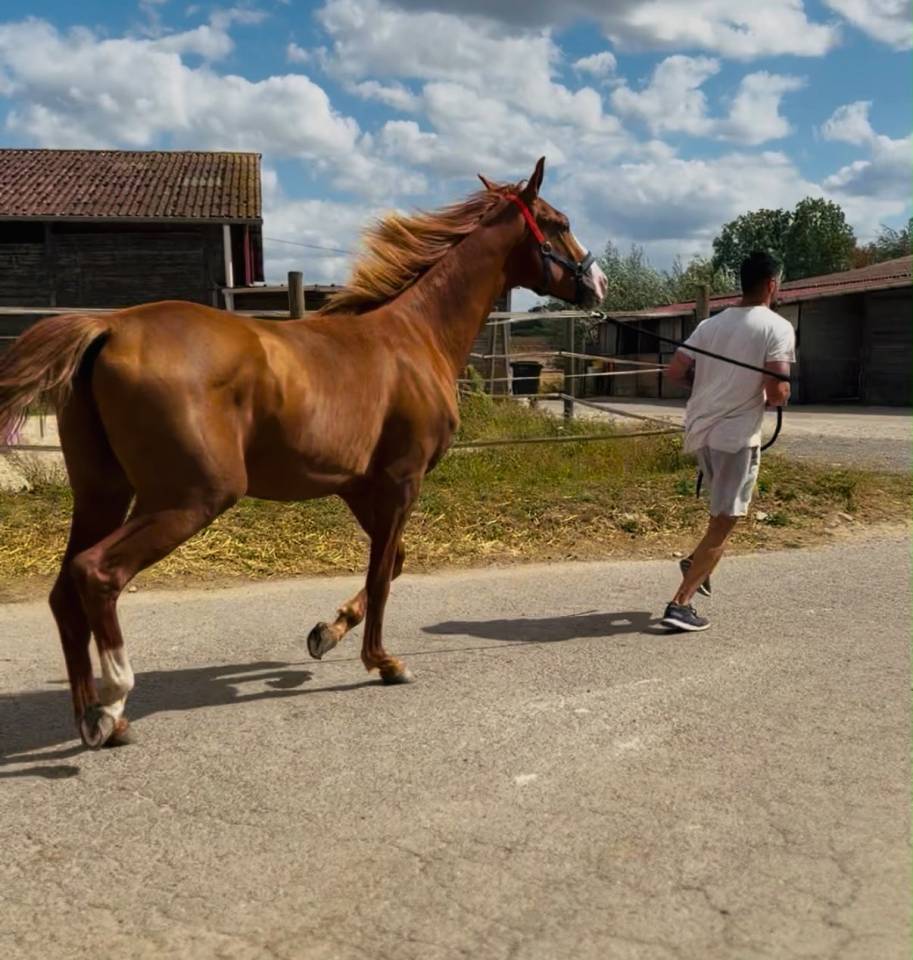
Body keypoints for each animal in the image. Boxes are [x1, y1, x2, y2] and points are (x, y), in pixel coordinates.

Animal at [0, 157, 607, 749]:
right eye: (558, 222)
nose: (599, 283)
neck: (415, 337)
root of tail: (110, 327)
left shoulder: (360, 486)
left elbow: (393, 563)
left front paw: (326, 634)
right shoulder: (401, 481)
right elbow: (383, 575)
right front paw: (383, 662)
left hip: (102, 493)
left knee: (64, 590)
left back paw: (93, 717)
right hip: (188, 498)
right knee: (97, 573)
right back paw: (113, 704)